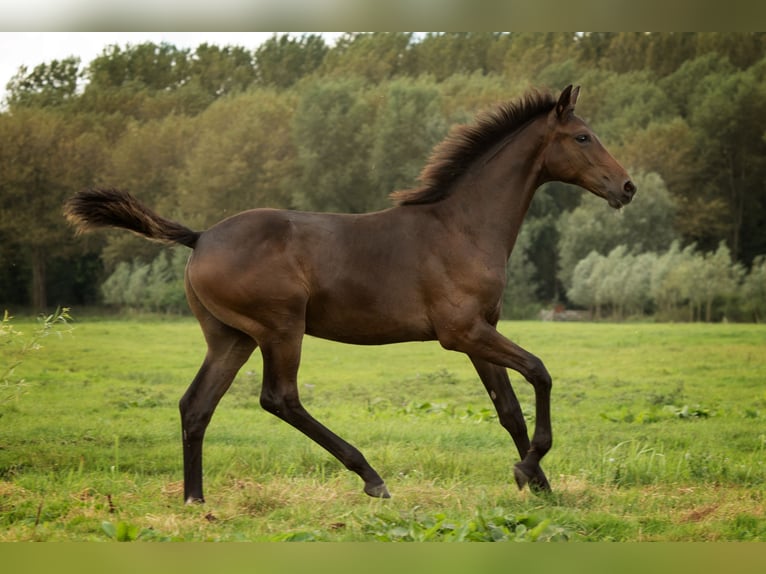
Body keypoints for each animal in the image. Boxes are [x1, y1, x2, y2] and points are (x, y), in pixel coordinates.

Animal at [64, 85, 636, 504]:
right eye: (583, 137)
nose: (627, 187)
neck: (461, 226)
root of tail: (200, 237)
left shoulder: (481, 331)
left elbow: (508, 409)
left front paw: (537, 483)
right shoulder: (461, 332)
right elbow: (540, 372)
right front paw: (530, 467)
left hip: (230, 338)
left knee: (195, 405)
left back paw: (195, 499)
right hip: (280, 328)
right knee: (280, 398)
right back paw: (371, 477)